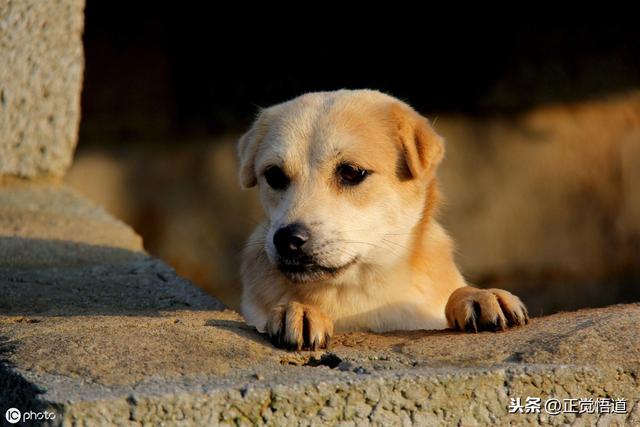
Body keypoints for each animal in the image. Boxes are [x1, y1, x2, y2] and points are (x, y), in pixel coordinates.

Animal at [238, 90, 528, 352]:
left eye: (351, 172)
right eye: (274, 175)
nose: (287, 239)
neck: (360, 293)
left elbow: (457, 292)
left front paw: (481, 295)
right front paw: (298, 309)